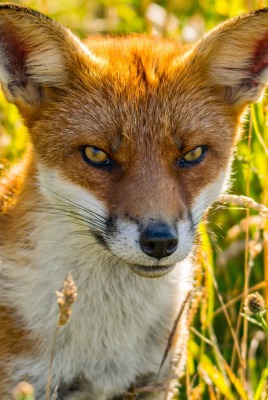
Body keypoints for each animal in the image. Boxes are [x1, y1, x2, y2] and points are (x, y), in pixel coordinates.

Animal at [0, 2, 268, 396]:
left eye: (192, 154)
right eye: (96, 155)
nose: (159, 242)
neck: (106, 350)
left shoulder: (154, 379)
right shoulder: (27, 381)